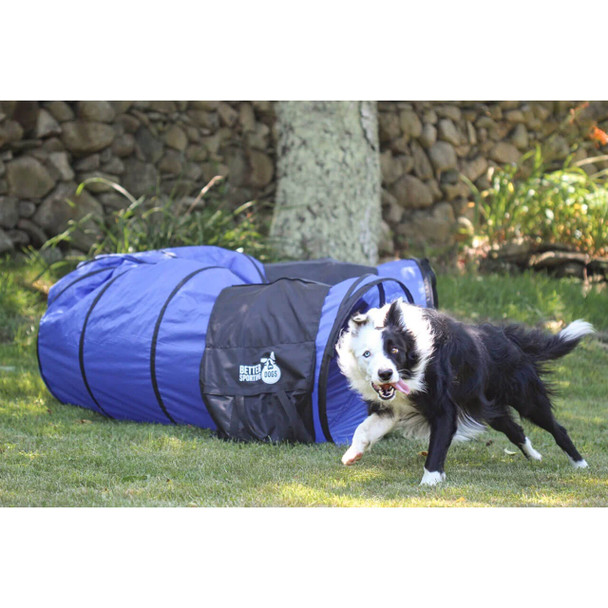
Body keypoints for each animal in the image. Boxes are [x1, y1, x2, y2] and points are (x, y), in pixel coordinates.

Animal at [334, 296, 592, 486]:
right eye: (367, 354)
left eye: (395, 350)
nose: (385, 374)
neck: (412, 362)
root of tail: (507, 337)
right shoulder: (392, 407)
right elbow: (363, 428)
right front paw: (352, 454)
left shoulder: (444, 409)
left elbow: (437, 446)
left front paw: (430, 481)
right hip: (488, 407)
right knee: (515, 429)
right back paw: (534, 456)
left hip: (526, 398)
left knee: (557, 428)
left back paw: (581, 465)